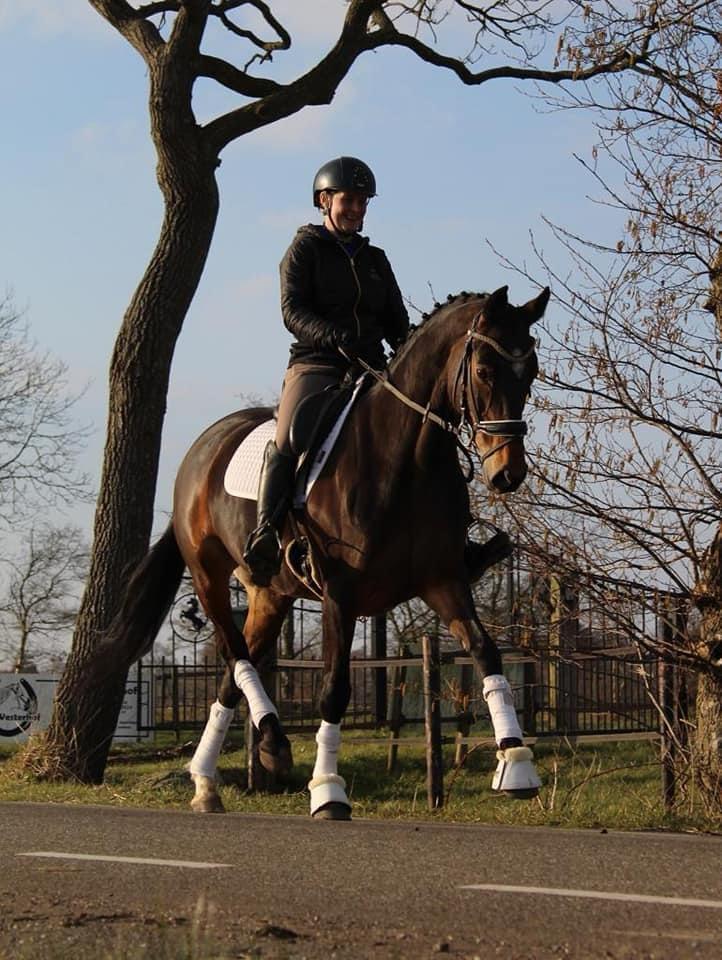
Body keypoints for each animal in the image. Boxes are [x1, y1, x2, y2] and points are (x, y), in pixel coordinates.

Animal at [106, 284, 550, 818]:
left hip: (270, 595)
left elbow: (487, 654)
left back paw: (208, 782)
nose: (508, 473)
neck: (406, 458)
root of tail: (204, 447)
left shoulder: (443, 581)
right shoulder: (341, 593)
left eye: (531, 372)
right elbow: (334, 689)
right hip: (209, 576)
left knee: (231, 674)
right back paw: (272, 744)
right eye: (484, 370)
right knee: (235, 652)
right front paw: (328, 790)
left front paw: (517, 765)